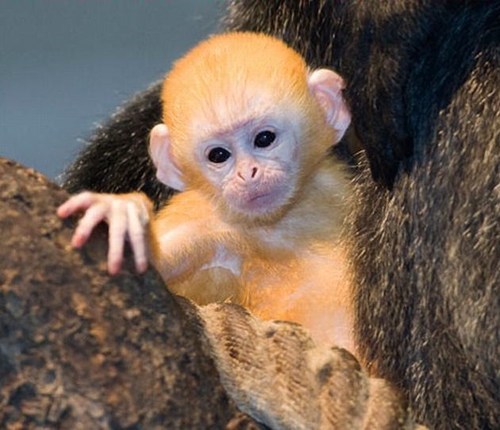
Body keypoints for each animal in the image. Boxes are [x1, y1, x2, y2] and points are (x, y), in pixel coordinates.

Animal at [58, 32, 354, 349]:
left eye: (264, 139)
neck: (280, 223)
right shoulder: (205, 224)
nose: (248, 173)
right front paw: (120, 213)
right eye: (218, 155)